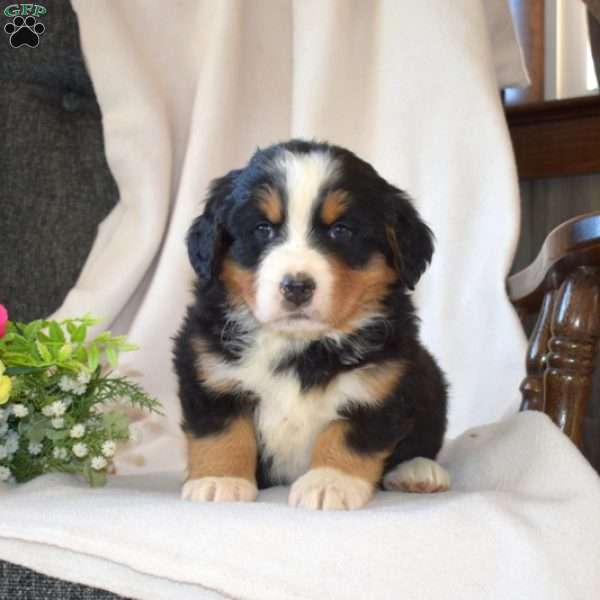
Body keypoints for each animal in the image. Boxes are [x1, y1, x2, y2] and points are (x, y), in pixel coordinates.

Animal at [171, 141, 448, 510]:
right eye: (263, 229)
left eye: (340, 230)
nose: (297, 286)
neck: (299, 345)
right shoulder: (208, 370)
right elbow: (220, 431)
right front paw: (219, 480)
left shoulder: (383, 383)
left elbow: (349, 437)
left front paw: (330, 483)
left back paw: (418, 470)